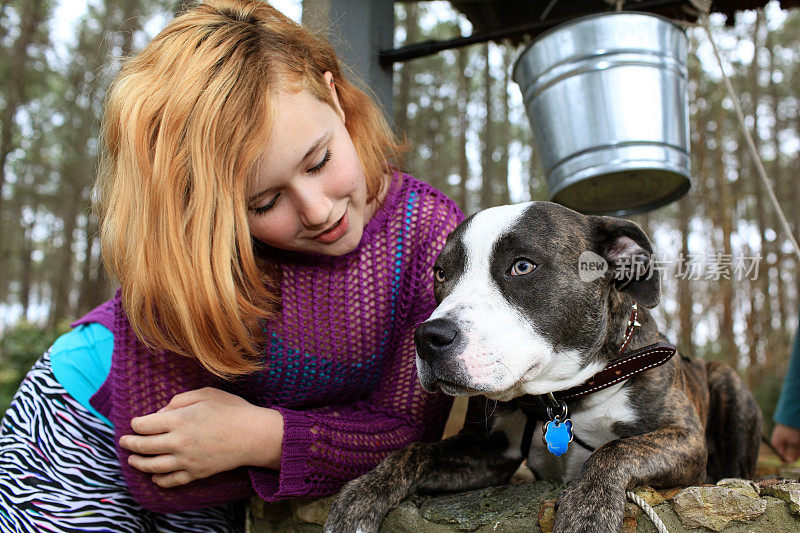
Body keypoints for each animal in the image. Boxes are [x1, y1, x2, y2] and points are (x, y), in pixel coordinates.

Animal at [322, 201, 760, 532]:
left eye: (522, 266)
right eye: (441, 273)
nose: (428, 338)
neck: (563, 396)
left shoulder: (683, 440)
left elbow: (617, 450)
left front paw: (587, 512)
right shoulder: (485, 453)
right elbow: (414, 452)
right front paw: (359, 497)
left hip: (730, 385)